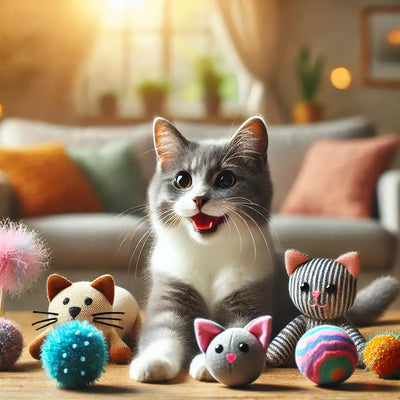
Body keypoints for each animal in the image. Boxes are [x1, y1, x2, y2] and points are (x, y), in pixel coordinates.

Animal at [130, 117, 398, 382]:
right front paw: (151, 363)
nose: (199, 198)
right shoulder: (170, 292)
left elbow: (239, 330)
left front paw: (210, 362)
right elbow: (162, 331)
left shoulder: (250, 297)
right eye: (182, 180)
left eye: (225, 179)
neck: (210, 251)